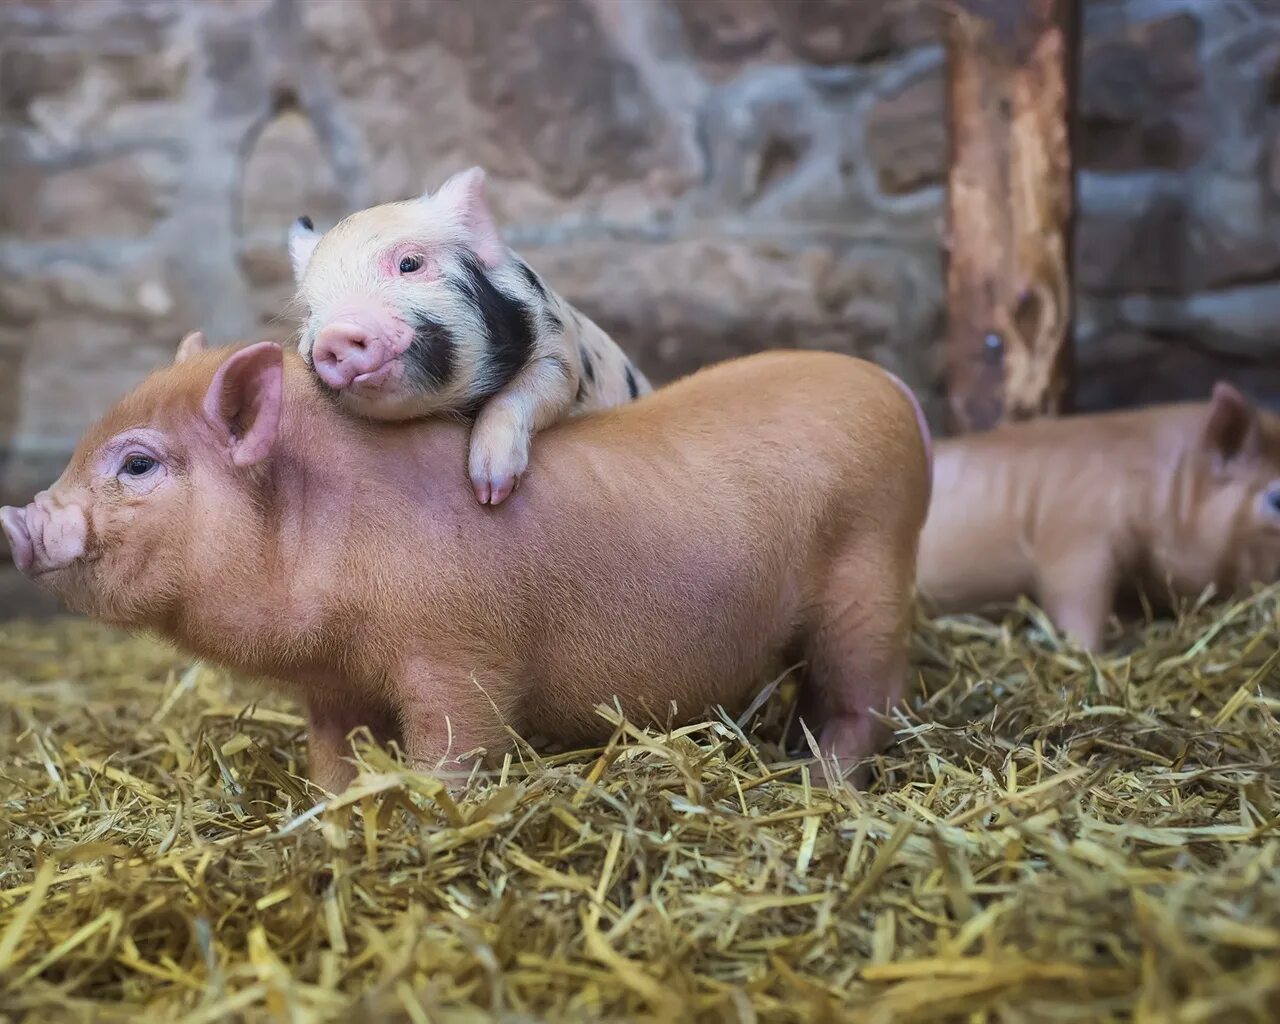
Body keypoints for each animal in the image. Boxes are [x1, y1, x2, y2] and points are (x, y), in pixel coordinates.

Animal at [5, 335, 936, 793]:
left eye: (137, 464)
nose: (17, 519)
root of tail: (895, 391)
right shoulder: (332, 683)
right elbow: (333, 755)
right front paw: (335, 809)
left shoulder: (459, 657)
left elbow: (457, 746)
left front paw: (427, 809)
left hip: (870, 578)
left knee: (865, 701)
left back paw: (818, 784)